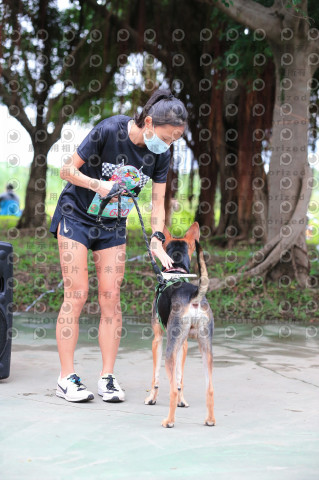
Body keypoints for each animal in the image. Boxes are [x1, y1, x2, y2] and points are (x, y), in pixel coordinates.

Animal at [146, 221, 216, 428]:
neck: (175, 272)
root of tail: (194, 297)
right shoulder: (183, 345)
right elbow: (180, 379)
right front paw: (182, 401)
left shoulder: (157, 340)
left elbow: (156, 377)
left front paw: (151, 398)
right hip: (206, 349)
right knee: (210, 388)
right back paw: (210, 420)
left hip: (169, 350)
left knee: (171, 389)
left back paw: (169, 421)